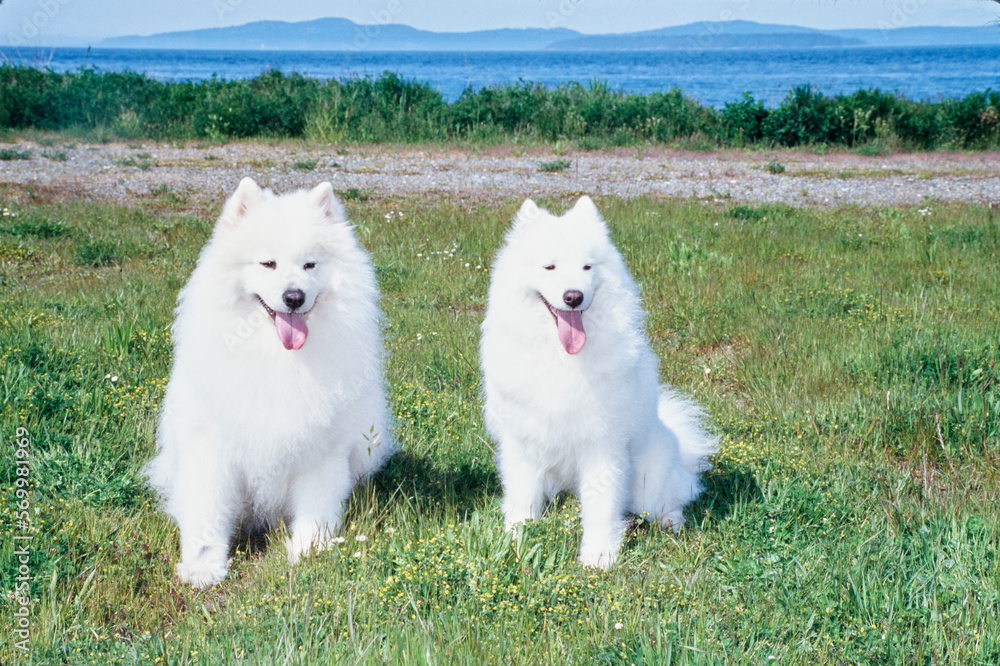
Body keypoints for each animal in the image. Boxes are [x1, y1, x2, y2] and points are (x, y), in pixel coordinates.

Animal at [148, 178, 394, 588]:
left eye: (310, 264)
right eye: (268, 263)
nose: (294, 297)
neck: (279, 358)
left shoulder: (321, 451)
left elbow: (316, 507)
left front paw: (308, 550)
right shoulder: (211, 450)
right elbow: (207, 512)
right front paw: (203, 567)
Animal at [480, 196, 716, 564]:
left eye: (587, 268)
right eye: (549, 267)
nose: (573, 296)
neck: (561, 358)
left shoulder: (601, 446)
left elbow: (601, 506)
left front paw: (599, 557)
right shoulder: (522, 442)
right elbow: (522, 498)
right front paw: (514, 541)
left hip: (648, 481)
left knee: (676, 497)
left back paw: (671, 523)